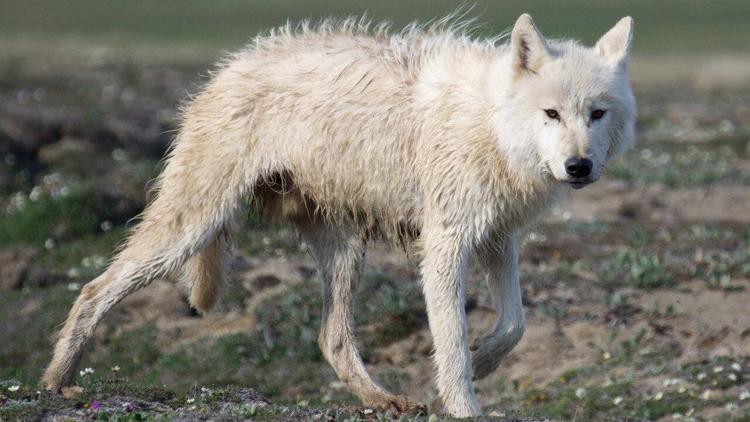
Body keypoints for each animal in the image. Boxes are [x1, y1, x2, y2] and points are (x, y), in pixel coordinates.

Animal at [44, 12, 636, 416]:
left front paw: (485, 358)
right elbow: (452, 347)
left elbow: (514, 324)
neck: (491, 122)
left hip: (346, 249)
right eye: (551, 113)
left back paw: (383, 399)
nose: (579, 166)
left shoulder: (497, 239)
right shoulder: (445, 243)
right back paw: (57, 380)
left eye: (597, 114)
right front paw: (464, 402)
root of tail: (228, 67)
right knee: (94, 288)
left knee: (330, 339)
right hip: (191, 228)